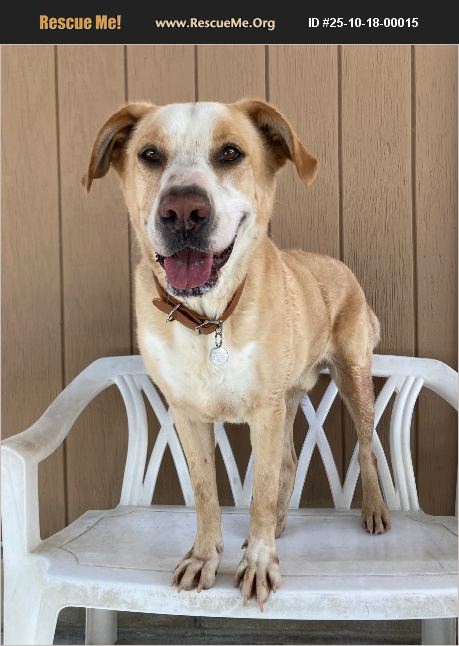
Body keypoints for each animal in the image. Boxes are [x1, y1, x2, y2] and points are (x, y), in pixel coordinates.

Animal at [84, 99, 390, 609]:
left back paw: (374, 511)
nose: (182, 211)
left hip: (353, 380)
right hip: (289, 399)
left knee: (366, 449)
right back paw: (281, 524)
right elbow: (206, 491)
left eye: (231, 152)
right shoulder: (188, 414)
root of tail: (338, 264)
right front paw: (204, 558)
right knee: (289, 462)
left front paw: (260, 565)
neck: (209, 322)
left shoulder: (264, 411)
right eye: (150, 154)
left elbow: (259, 493)